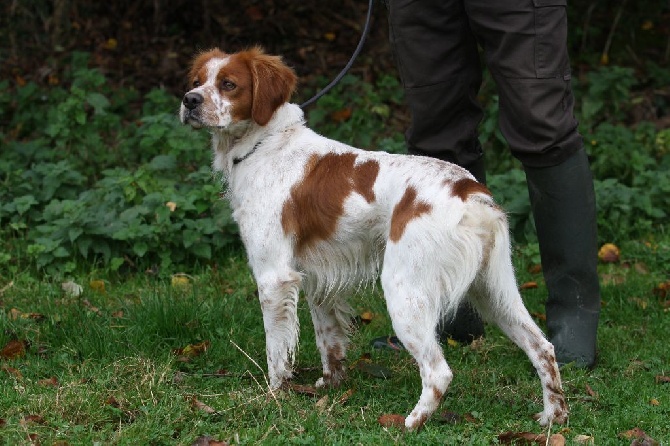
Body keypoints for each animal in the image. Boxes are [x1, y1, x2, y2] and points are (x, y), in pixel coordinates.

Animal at [178, 47, 568, 430]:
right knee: (542, 347)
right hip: (494, 289)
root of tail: (468, 191)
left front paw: (273, 396)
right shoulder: (318, 277)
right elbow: (329, 340)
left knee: (438, 371)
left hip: (405, 290)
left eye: (229, 84)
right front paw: (329, 387)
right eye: (196, 81)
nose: (189, 100)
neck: (265, 143)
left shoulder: (273, 276)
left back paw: (408, 423)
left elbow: (277, 350)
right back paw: (554, 417)